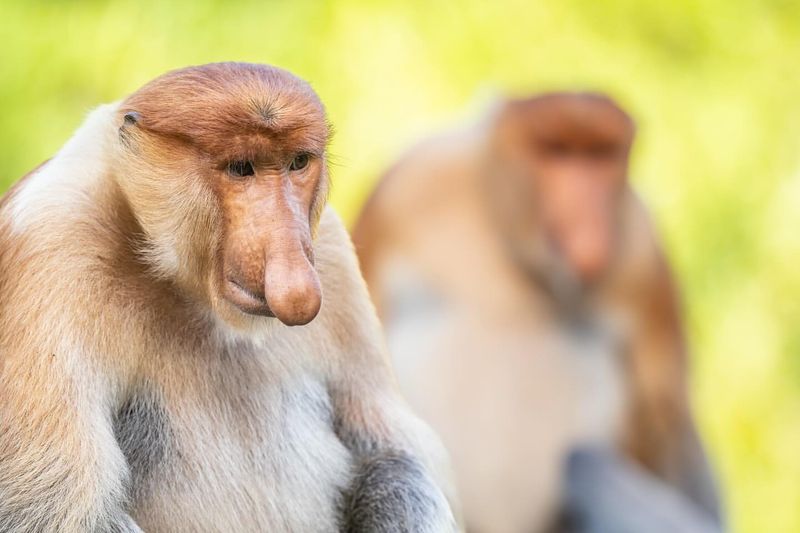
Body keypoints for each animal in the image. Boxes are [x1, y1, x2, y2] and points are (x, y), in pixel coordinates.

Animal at [0, 63, 460, 532]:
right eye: (242, 168)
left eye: (297, 163)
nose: (293, 273)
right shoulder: (54, 237)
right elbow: (62, 509)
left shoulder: (330, 250)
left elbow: (390, 453)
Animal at [354, 93, 720, 528]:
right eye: (556, 151)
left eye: (601, 155)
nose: (588, 217)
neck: (514, 245)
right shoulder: (405, 186)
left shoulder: (642, 254)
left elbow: (667, 426)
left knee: (588, 463)